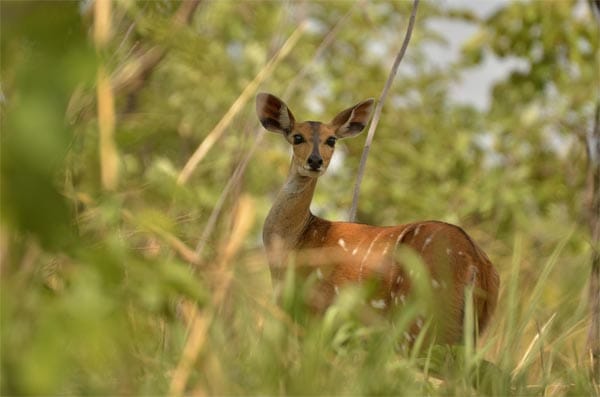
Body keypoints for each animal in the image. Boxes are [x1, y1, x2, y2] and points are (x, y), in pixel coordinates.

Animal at [255, 93, 500, 344]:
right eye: (297, 137)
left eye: (331, 140)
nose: (315, 161)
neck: (295, 240)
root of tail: (475, 265)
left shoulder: (313, 311)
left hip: (420, 318)